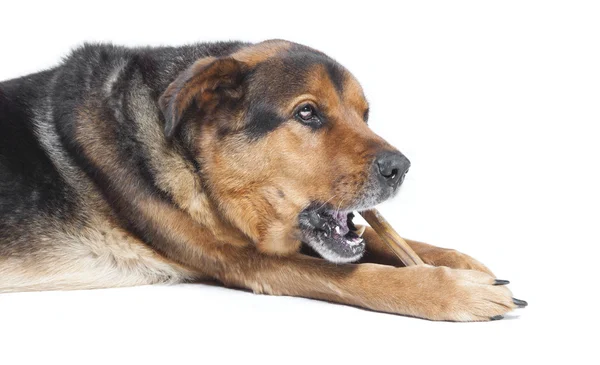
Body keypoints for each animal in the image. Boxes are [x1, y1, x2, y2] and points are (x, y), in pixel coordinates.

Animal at [0, 38, 524, 320]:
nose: (401, 168)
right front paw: (451, 291)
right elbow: (358, 276)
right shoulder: (248, 263)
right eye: (307, 113)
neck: (195, 162)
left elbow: (383, 240)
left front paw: (458, 260)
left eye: (364, 115)